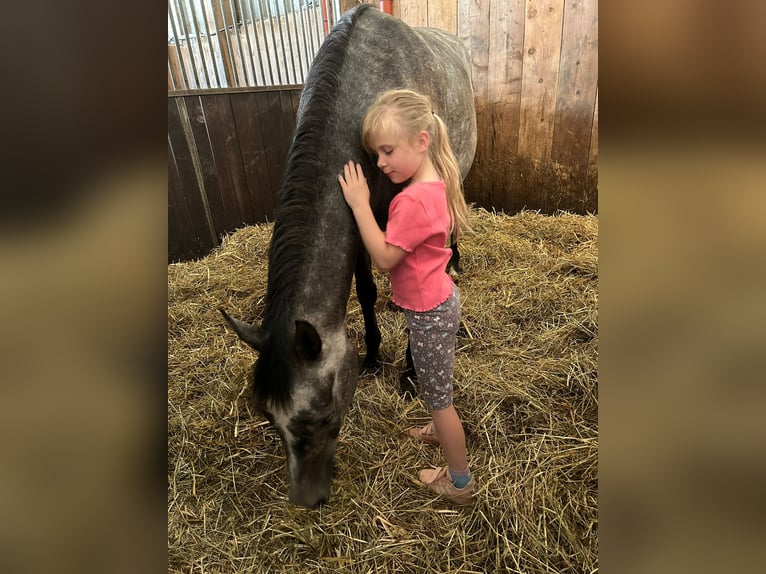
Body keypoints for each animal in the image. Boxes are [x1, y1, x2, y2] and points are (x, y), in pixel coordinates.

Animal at [219, 3, 476, 508]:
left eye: (319, 417)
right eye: (268, 418)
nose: (306, 500)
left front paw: (410, 374)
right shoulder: (360, 228)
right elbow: (368, 292)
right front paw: (373, 357)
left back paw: (454, 262)